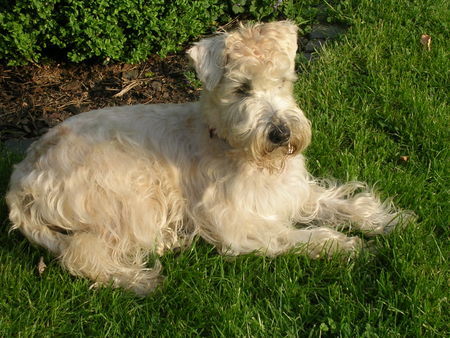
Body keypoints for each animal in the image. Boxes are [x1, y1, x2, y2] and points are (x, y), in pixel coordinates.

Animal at [5, 21, 410, 296]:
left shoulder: (293, 192)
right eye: (241, 88)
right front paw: (344, 245)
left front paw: (389, 220)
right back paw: (141, 278)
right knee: (83, 254)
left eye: (283, 81)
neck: (229, 143)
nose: (281, 134)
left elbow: (345, 204)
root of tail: (20, 180)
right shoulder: (237, 224)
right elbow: (298, 235)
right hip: (127, 200)